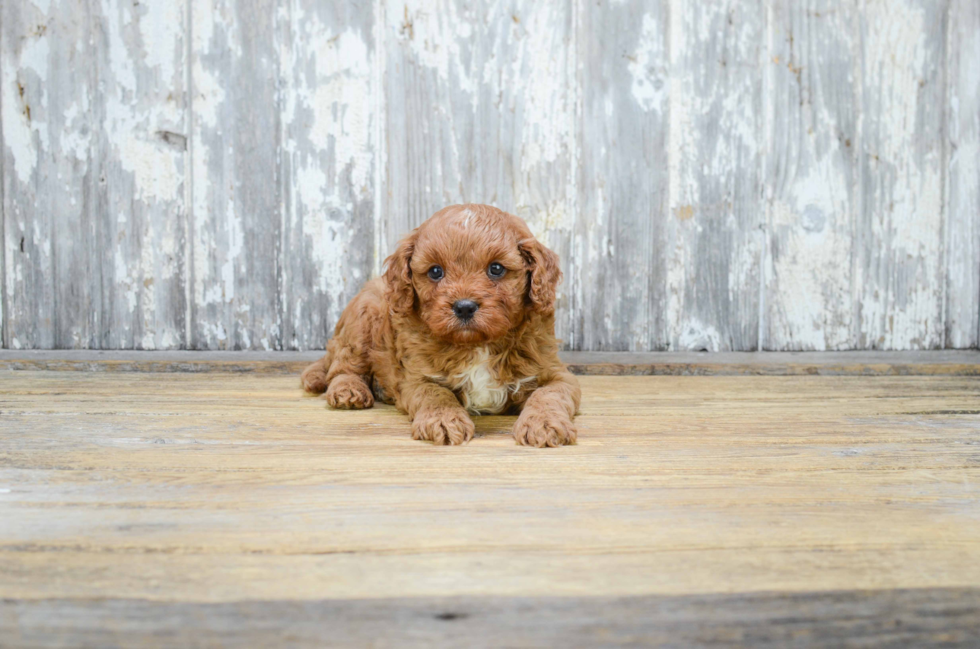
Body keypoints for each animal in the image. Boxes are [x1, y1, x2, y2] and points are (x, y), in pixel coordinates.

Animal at [302, 202, 580, 446]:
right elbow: (436, 394)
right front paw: (444, 420)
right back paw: (349, 390)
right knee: (342, 366)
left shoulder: (556, 373)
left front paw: (543, 424)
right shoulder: (416, 377)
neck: (477, 345)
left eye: (496, 269)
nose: (464, 306)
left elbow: (548, 394)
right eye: (435, 272)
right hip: (363, 319)